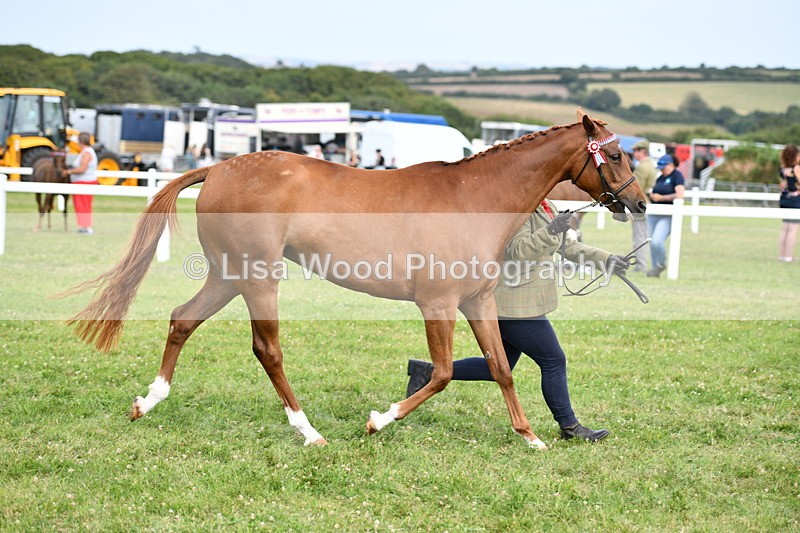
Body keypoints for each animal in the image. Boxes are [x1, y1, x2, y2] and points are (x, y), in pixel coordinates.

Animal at [65, 111, 646, 450]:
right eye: (617, 154)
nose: (640, 203)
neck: (474, 198)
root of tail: (221, 168)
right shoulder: (437, 304)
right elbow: (440, 374)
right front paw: (378, 420)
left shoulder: (478, 301)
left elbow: (501, 367)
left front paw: (530, 438)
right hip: (257, 277)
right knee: (267, 349)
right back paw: (309, 431)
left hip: (228, 276)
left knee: (182, 320)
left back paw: (148, 402)